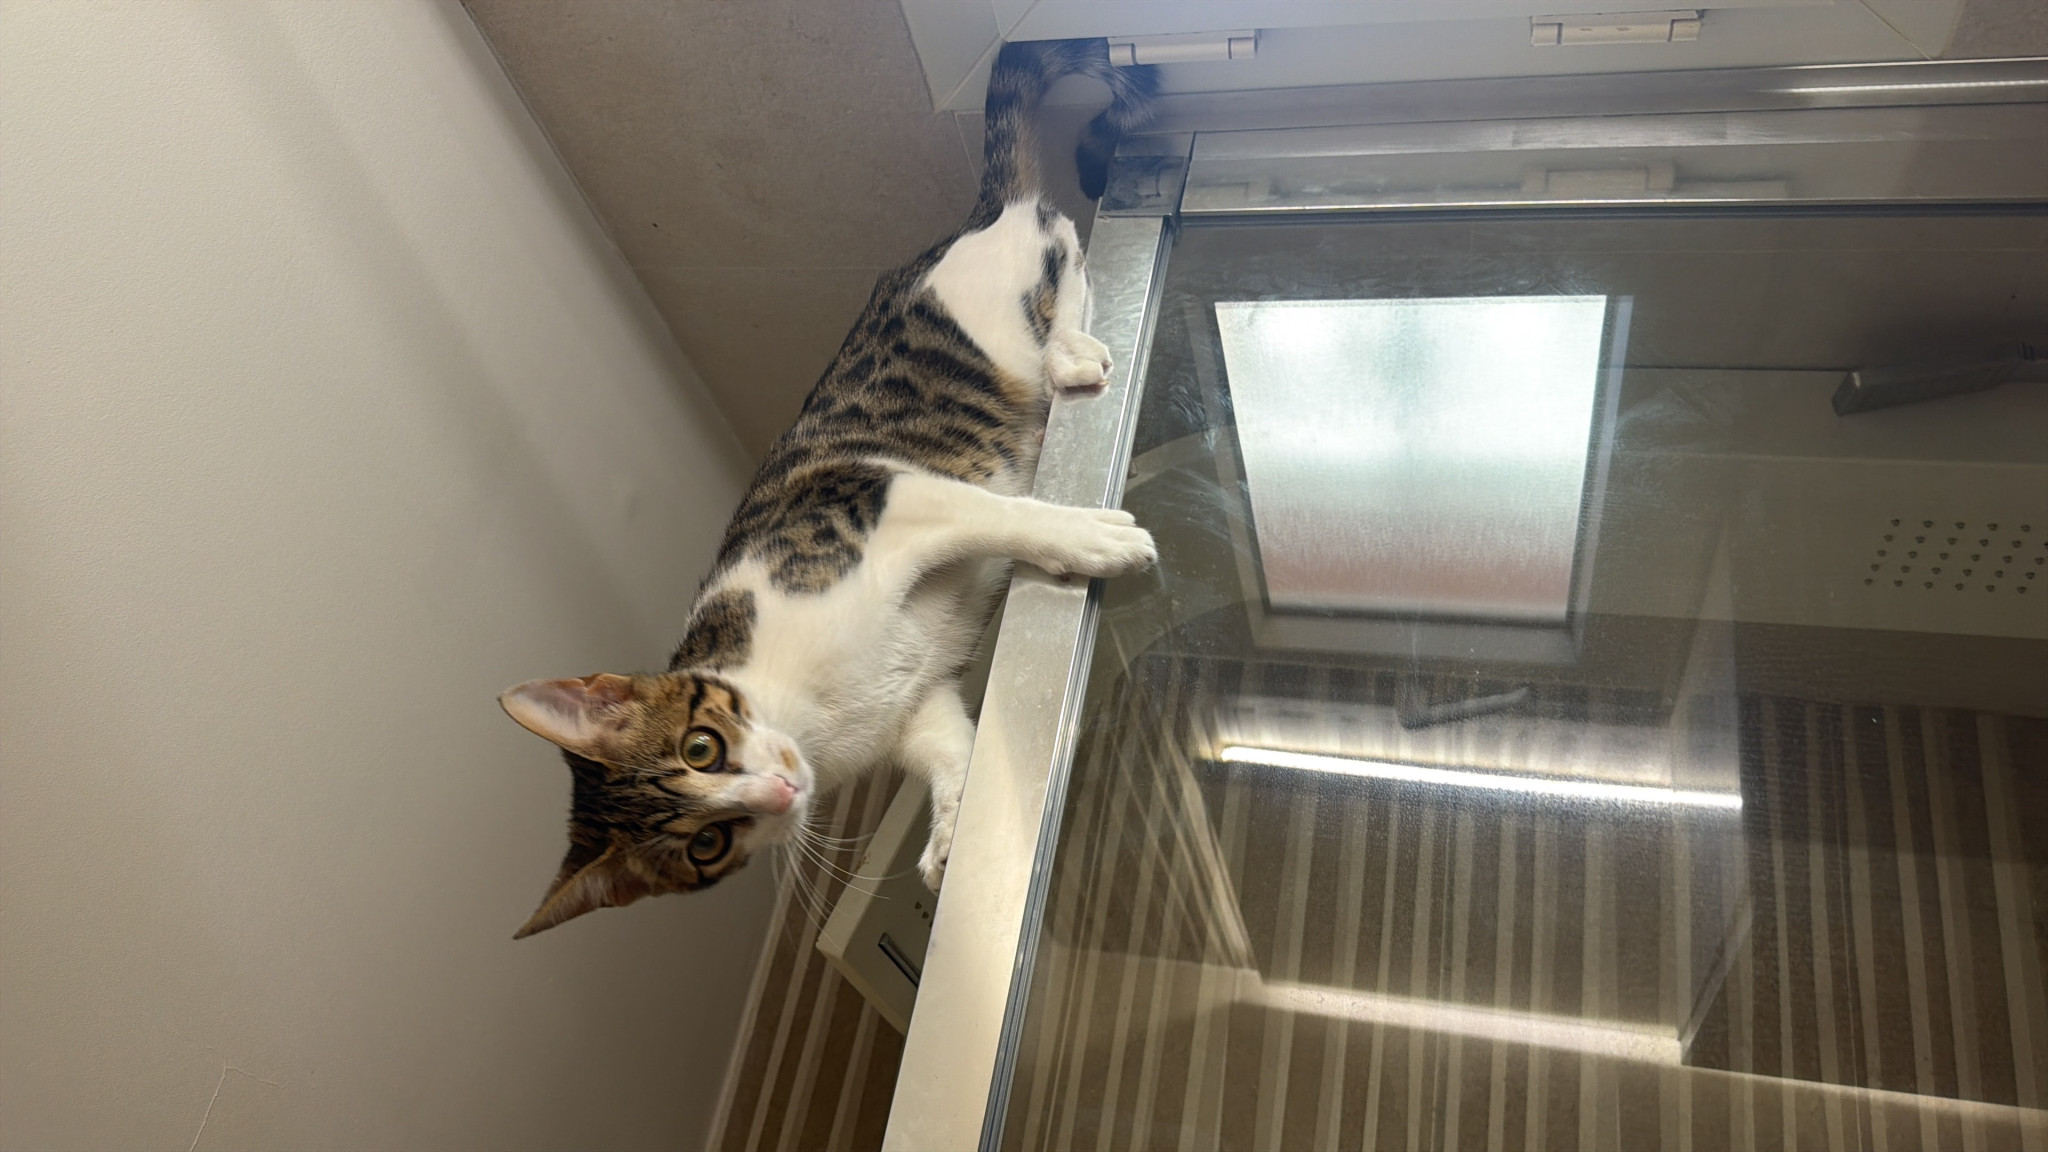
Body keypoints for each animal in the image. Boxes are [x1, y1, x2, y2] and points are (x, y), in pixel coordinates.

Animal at [497, 40, 1159, 939]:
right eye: (706, 846)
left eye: (701, 747)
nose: (780, 791)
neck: (808, 713)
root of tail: (972, 220)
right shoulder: (916, 707)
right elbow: (950, 749)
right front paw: (950, 839)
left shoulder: (890, 498)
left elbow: (1008, 516)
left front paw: (1096, 538)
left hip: (1000, 309)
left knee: (1061, 253)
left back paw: (1069, 353)